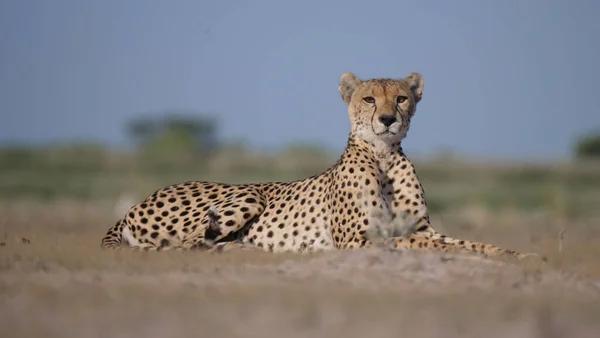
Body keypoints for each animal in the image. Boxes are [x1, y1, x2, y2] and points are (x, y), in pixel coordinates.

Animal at [102, 72, 528, 258]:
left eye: (402, 98)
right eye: (370, 99)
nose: (388, 119)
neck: (384, 156)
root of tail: (132, 206)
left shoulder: (424, 227)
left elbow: (466, 241)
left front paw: (512, 253)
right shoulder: (357, 238)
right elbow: (410, 242)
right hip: (248, 195)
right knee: (186, 245)